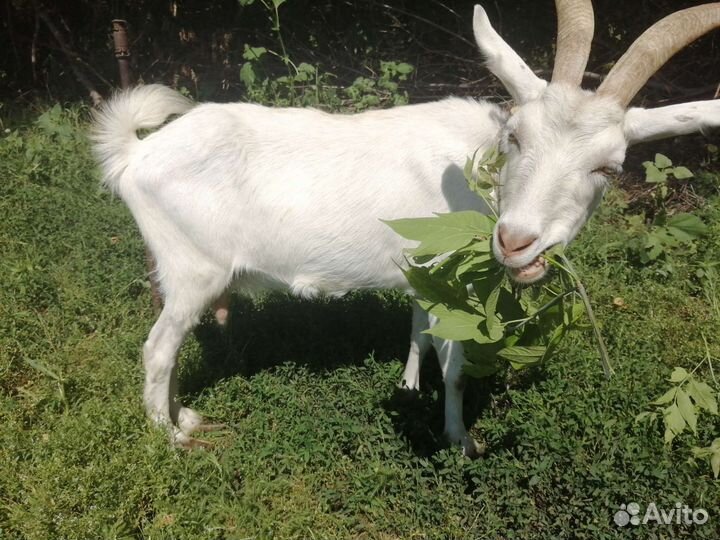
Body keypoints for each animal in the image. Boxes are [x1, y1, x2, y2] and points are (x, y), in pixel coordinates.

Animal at [93, 1, 720, 455]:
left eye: (608, 168)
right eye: (516, 136)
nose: (515, 241)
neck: (476, 171)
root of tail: (136, 155)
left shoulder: (425, 269)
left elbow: (417, 329)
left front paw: (409, 385)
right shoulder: (452, 280)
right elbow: (457, 367)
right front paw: (460, 439)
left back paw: (183, 414)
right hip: (191, 269)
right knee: (157, 350)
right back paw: (171, 435)